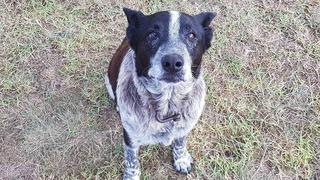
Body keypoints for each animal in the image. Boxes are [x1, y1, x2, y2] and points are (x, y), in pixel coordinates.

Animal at [106, 7, 216, 179]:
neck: (167, 104)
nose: (172, 62)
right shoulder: (130, 136)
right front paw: (132, 175)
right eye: (152, 35)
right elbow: (131, 160)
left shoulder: (184, 126)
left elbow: (180, 142)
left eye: (192, 35)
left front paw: (181, 159)